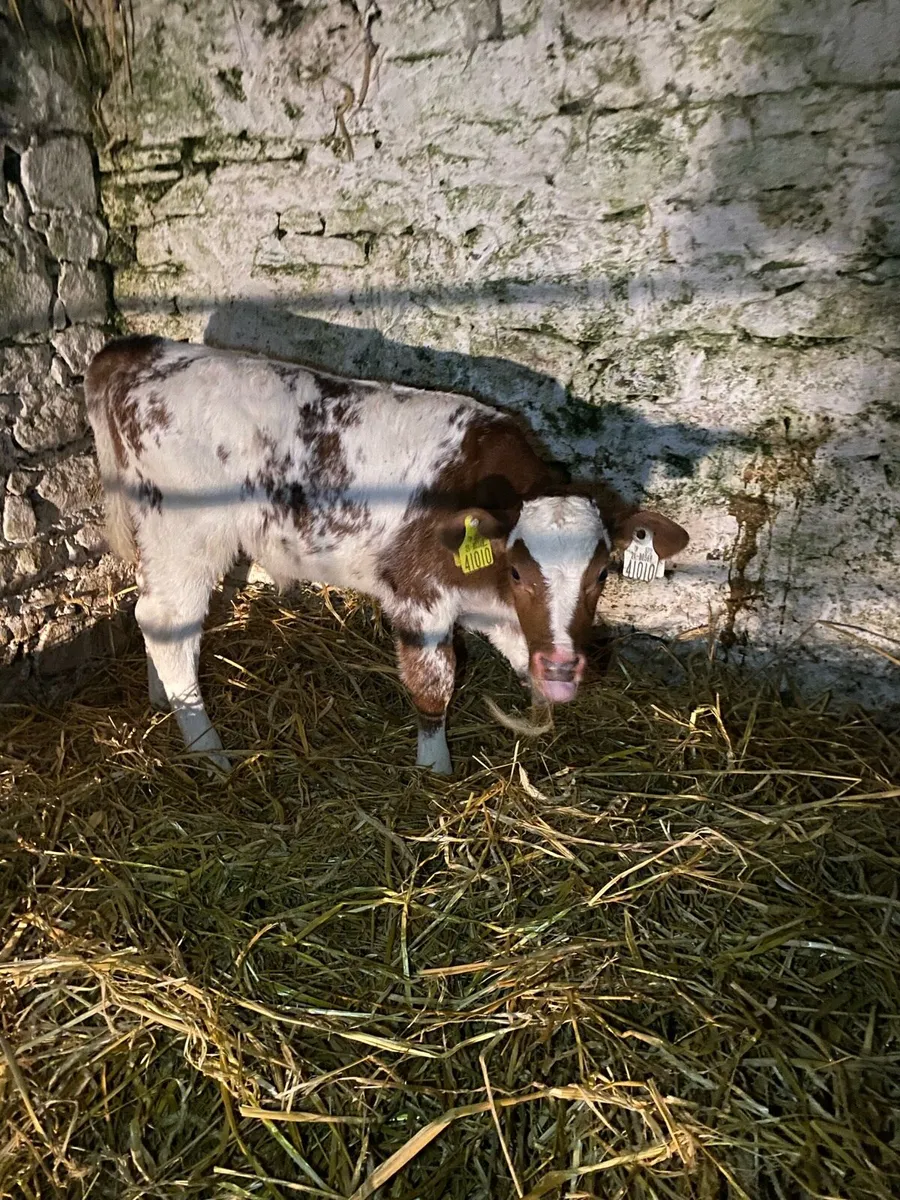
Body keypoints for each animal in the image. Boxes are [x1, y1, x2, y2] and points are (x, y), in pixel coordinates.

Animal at [85, 336, 689, 775]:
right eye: (517, 569)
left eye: (602, 573)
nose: (564, 665)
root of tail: (145, 349)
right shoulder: (417, 596)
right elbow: (433, 684)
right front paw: (434, 771)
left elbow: (521, 650)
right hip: (185, 533)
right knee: (168, 622)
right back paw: (208, 751)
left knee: (153, 615)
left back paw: (161, 701)